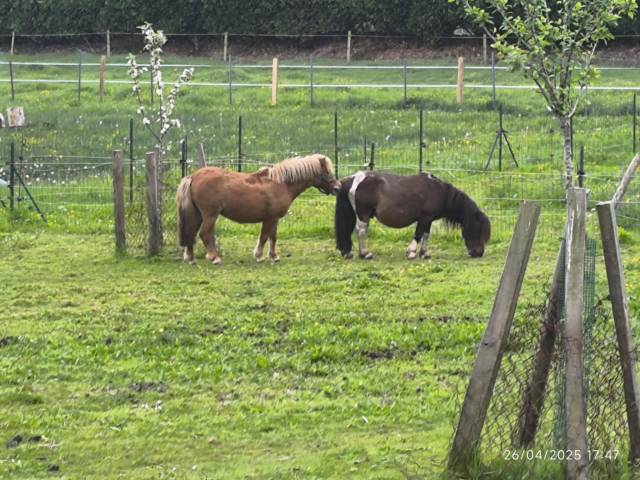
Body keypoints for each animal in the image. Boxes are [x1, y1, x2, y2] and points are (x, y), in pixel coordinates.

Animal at [176, 154, 340, 264]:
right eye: (326, 172)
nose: (337, 188)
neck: (281, 184)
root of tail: (193, 176)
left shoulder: (274, 219)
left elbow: (273, 237)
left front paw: (274, 256)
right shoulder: (270, 218)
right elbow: (264, 237)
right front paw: (259, 256)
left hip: (197, 214)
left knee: (191, 232)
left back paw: (191, 258)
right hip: (210, 215)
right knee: (204, 234)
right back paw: (215, 258)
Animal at [335, 171, 491, 260]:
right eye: (478, 230)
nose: (479, 253)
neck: (440, 192)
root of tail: (353, 178)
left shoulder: (428, 220)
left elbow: (426, 235)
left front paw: (424, 253)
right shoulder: (424, 218)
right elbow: (418, 234)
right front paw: (411, 252)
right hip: (363, 214)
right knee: (360, 231)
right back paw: (365, 254)